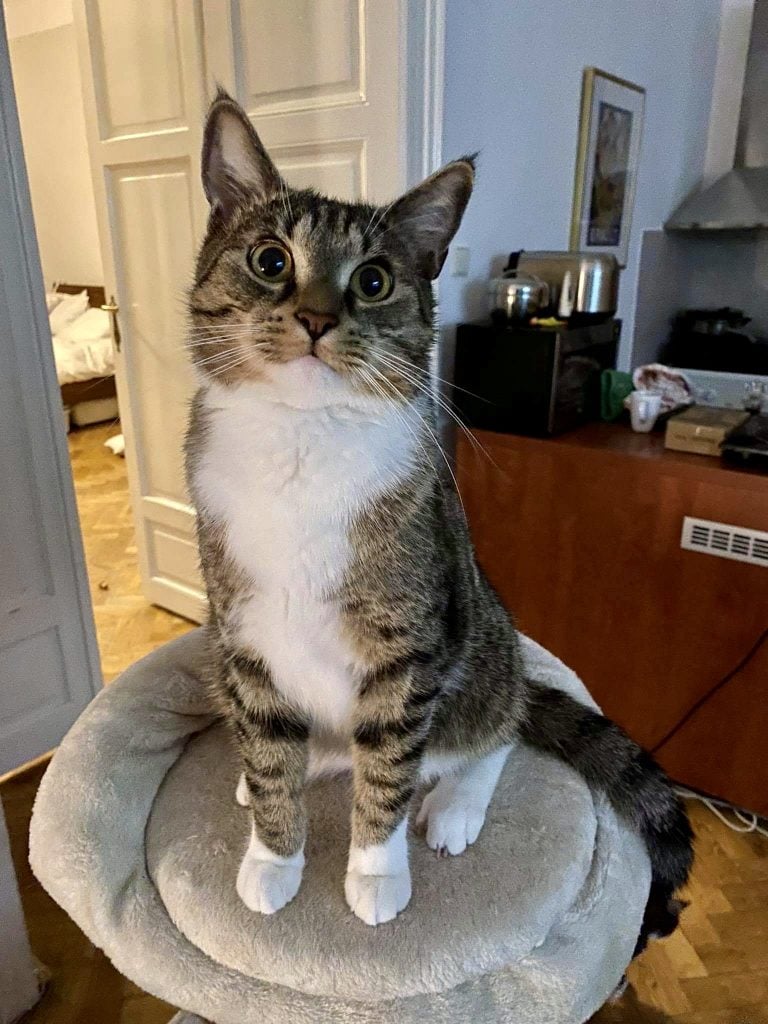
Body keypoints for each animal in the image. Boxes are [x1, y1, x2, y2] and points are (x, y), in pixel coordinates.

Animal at [183, 94, 696, 937]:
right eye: (270, 261)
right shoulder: (245, 632)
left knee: (495, 725)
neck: (302, 442)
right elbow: (271, 748)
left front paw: (375, 873)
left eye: (374, 279)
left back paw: (454, 803)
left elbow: (391, 767)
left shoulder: (408, 643)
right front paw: (272, 854)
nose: (317, 319)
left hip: (481, 644)